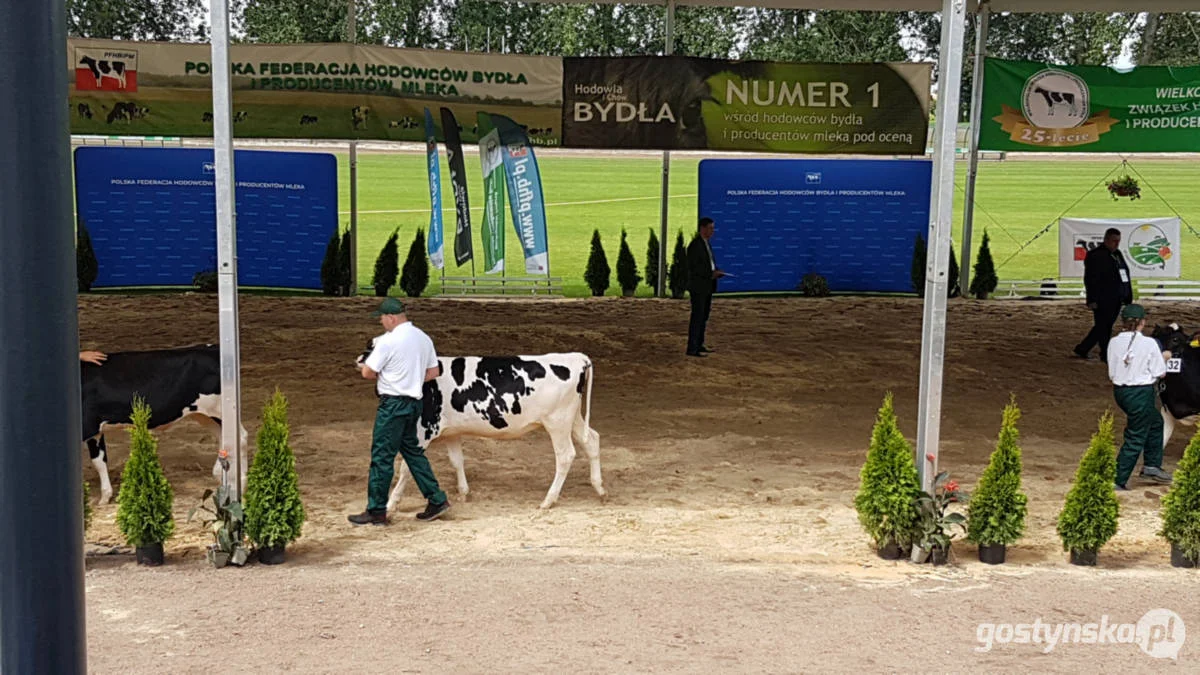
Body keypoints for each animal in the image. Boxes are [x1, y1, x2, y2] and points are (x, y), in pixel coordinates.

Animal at [81, 343, 247, 502]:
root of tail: (214, 348)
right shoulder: (95, 431)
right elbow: (99, 460)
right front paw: (105, 496)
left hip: (219, 409)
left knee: (240, 437)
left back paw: (240, 482)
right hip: (203, 414)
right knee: (223, 437)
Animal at [352, 341, 600, 509]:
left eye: (378, 346)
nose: (359, 359)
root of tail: (576, 357)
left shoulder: (423, 430)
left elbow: (406, 466)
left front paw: (391, 504)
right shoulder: (451, 431)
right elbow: (457, 461)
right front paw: (464, 493)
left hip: (557, 422)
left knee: (566, 455)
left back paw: (548, 500)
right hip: (572, 419)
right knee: (592, 440)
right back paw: (599, 488)